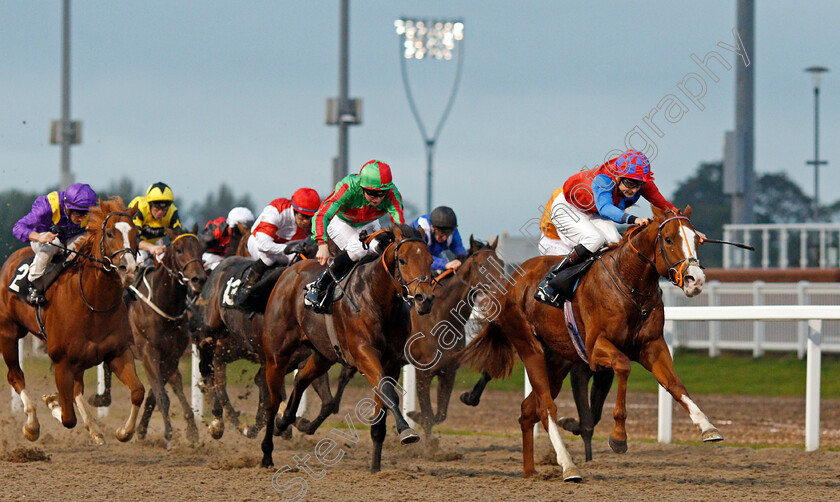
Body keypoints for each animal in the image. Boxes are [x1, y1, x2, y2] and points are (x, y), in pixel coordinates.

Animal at [0, 198, 144, 446]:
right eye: (109, 233)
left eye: (135, 233)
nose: (129, 269)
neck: (93, 303)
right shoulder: (61, 360)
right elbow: (68, 418)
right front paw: (51, 402)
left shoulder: (118, 352)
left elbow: (138, 391)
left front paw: (124, 432)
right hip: (8, 333)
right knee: (15, 376)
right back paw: (32, 425)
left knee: (77, 389)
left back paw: (94, 429)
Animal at [128, 228, 207, 448]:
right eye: (179, 250)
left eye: (201, 249)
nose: (198, 279)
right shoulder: (148, 352)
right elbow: (162, 396)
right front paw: (169, 436)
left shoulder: (171, 356)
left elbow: (157, 394)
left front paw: (142, 431)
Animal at [260, 226, 434, 472]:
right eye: (402, 260)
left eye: (430, 260)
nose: (424, 299)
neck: (377, 298)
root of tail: (290, 271)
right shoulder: (364, 354)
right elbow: (389, 393)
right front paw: (406, 430)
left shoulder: (391, 362)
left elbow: (382, 405)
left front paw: (375, 467)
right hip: (277, 356)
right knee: (272, 403)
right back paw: (267, 453)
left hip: (323, 354)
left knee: (301, 378)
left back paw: (284, 422)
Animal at [460, 206, 720, 480]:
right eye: (669, 239)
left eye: (697, 240)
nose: (695, 279)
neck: (629, 284)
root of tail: (510, 284)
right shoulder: (596, 349)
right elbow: (623, 366)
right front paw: (618, 437)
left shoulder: (652, 346)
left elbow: (674, 384)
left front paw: (707, 426)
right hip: (530, 348)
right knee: (546, 408)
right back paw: (568, 466)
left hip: (557, 361)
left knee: (528, 409)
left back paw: (530, 471)